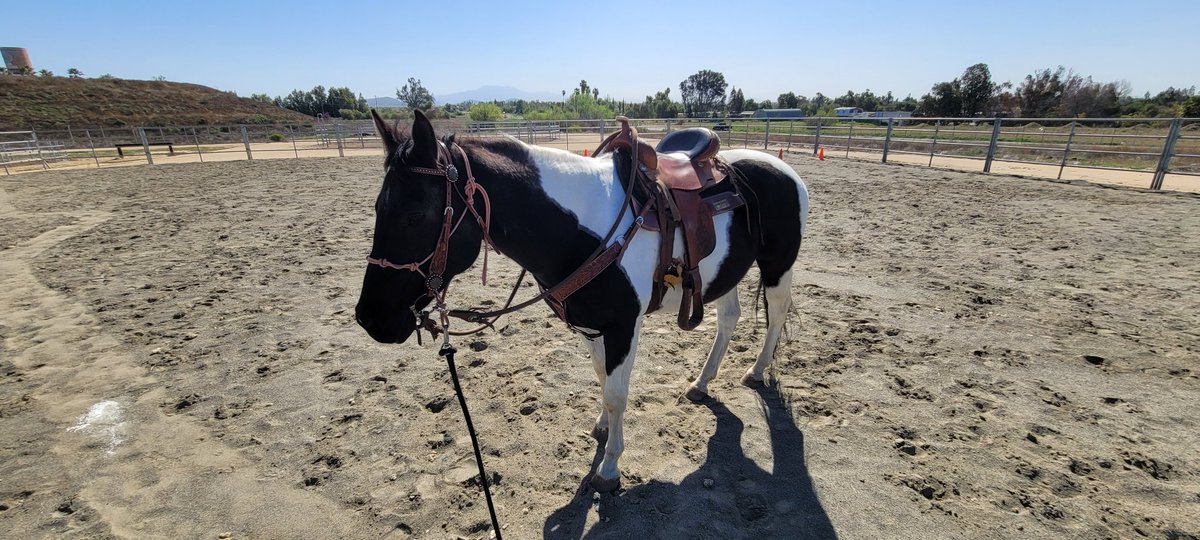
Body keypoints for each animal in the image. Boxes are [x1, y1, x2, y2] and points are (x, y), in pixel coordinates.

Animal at [355, 110, 809, 492]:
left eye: (415, 216)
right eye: (377, 208)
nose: (370, 318)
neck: (583, 230)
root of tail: (785, 170)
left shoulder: (624, 325)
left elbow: (617, 393)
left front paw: (609, 468)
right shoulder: (593, 324)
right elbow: (601, 378)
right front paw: (602, 428)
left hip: (777, 266)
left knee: (776, 313)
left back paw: (756, 371)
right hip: (726, 271)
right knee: (729, 317)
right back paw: (701, 382)